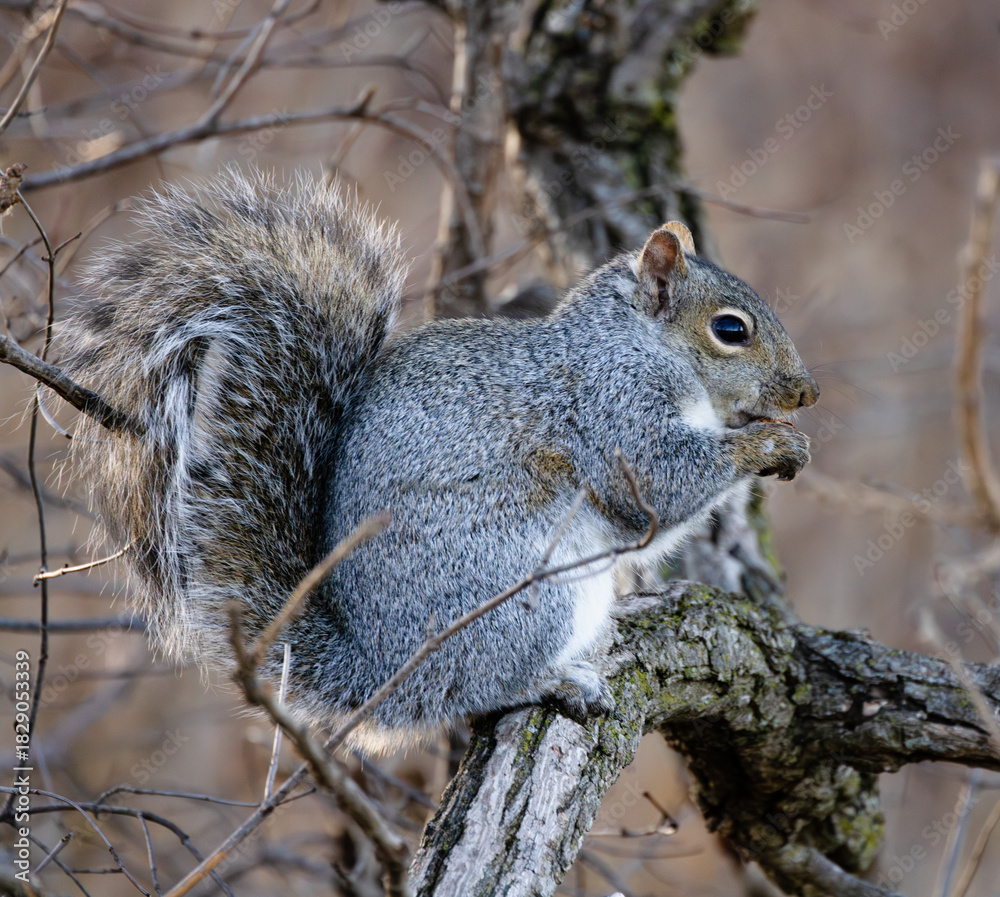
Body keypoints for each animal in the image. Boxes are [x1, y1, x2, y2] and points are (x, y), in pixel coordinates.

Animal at [60, 169, 818, 754]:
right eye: (730, 329)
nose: (805, 394)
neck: (639, 344)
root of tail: (378, 671)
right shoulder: (612, 408)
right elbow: (660, 485)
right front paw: (768, 443)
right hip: (526, 594)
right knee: (474, 687)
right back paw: (553, 679)